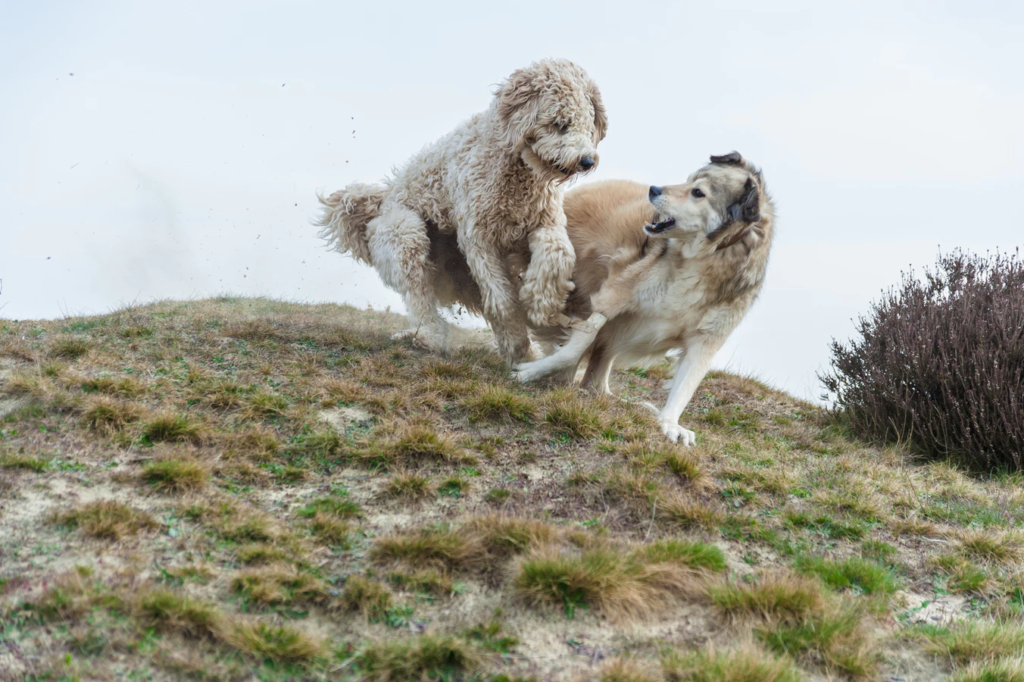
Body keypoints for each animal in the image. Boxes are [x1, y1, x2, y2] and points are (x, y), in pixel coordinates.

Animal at [317, 59, 606, 360]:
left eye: (587, 124)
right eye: (560, 123)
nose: (587, 161)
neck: (515, 171)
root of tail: (382, 200)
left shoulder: (543, 223)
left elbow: (558, 254)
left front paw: (542, 303)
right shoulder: (479, 239)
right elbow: (502, 301)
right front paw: (521, 335)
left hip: (460, 273)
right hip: (405, 234)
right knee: (418, 292)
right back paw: (428, 336)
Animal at [516, 151, 770, 444]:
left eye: (698, 192)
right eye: (689, 180)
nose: (654, 189)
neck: (704, 258)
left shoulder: (706, 340)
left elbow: (686, 385)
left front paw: (669, 423)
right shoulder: (612, 295)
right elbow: (578, 345)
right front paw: (531, 371)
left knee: (595, 381)